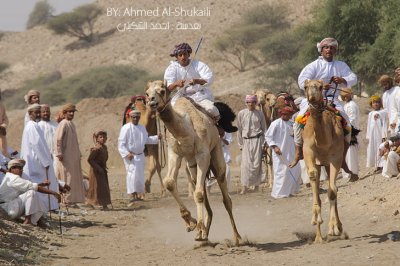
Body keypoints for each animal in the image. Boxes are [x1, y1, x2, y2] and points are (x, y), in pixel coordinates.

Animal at [146, 80, 242, 244]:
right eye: (146, 93)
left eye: (162, 90)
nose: (152, 102)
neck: (186, 129)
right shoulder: (176, 153)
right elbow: (170, 182)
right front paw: (191, 223)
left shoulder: (202, 155)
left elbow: (198, 194)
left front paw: (197, 226)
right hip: (192, 164)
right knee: (201, 188)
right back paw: (204, 233)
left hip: (216, 153)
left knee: (225, 196)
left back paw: (237, 238)